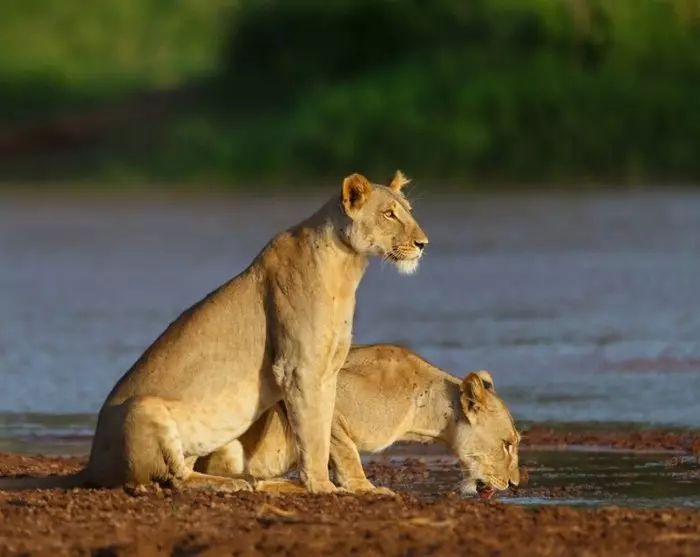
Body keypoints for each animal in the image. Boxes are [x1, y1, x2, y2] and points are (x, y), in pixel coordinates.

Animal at [0, 172, 428, 494]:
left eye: (408, 212)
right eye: (389, 214)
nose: (423, 243)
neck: (349, 268)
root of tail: (91, 464)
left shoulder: (328, 371)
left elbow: (329, 434)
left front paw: (362, 488)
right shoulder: (298, 369)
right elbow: (314, 435)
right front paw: (322, 488)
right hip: (144, 408)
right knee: (172, 479)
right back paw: (237, 484)